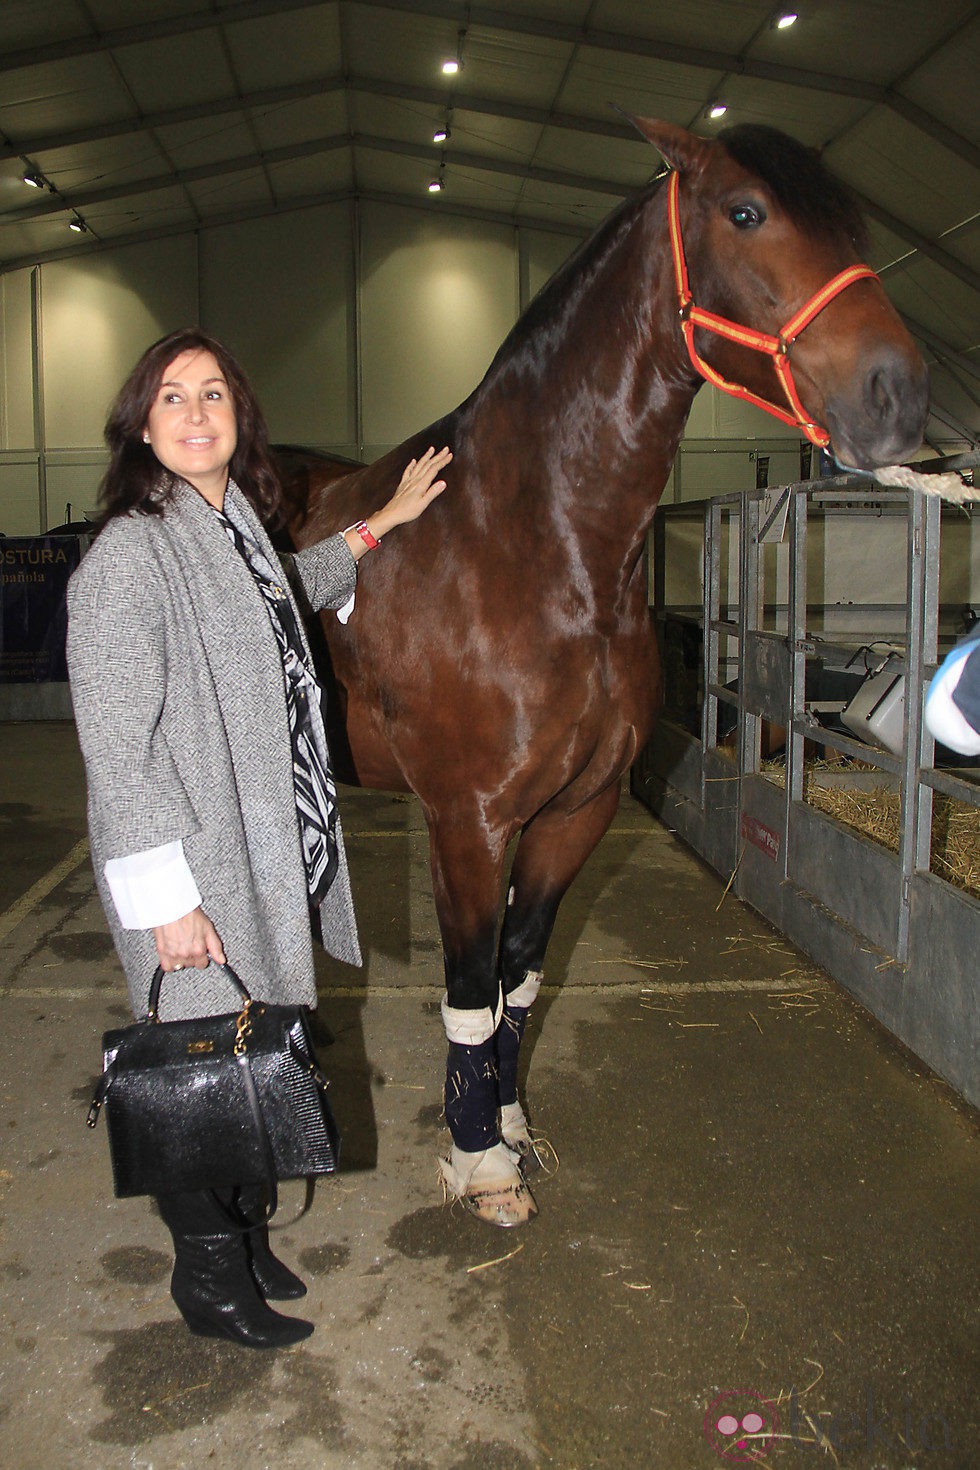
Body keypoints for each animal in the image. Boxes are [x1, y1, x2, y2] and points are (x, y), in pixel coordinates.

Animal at [283, 114, 928, 1223]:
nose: (902, 394)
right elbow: (469, 992)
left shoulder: (574, 813)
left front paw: (507, 1127)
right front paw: (479, 1166)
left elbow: (519, 984)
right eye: (745, 211)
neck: (527, 542)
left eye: (852, 225)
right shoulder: (468, 820)